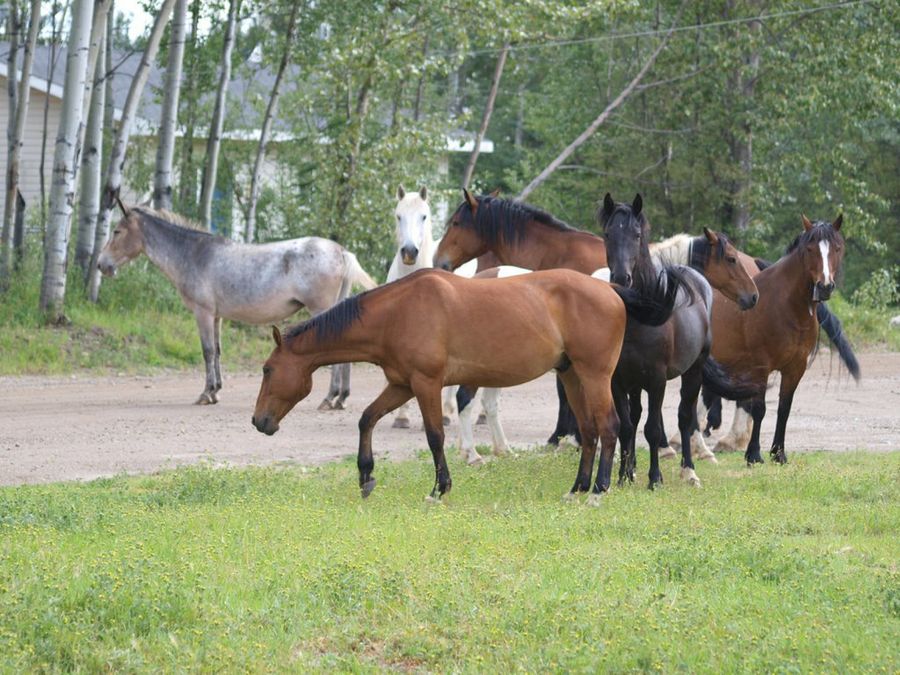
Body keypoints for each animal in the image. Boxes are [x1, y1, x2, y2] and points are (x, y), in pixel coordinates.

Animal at [97, 203, 377, 406]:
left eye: (117, 232)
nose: (101, 264)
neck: (194, 255)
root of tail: (341, 251)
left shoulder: (203, 313)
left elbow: (207, 351)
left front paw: (206, 394)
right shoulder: (216, 316)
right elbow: (218, 351)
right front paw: (216, 391)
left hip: (323, 310)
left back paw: (330, 398)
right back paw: (340, 398)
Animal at [252, 267, 684, 501]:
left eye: (268, 370)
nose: (259, 422)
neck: (398, 312)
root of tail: (610, 289)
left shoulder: (425, 384)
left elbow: (434, 436)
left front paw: (439, 489)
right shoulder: (401, 385)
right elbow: (366, 419)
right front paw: (366, 477)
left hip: (594, 376)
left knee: (609, 427)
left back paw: (599, 489)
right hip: (571, 375)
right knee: (591, 431)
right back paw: (577, 488)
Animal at [600, 193, 762, 488]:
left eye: (637, 234)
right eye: (608, 234)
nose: (621, 278)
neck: (643, 312)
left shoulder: (657, 379)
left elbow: (653, 428)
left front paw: (655, 478)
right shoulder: (618, 380)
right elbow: (627, 426)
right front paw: (623, 477)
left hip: (692, 372)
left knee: (685, 416)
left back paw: (689, 469)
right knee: (639, 416)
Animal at [706, 214, 846, 464]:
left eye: (837, 248)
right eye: (810, 249)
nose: (825, 286)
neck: (786, 306)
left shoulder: (795, 367)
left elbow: (784, 408)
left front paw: (778, 453)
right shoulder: (761, 366)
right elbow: (759, 409)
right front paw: (753, 454)